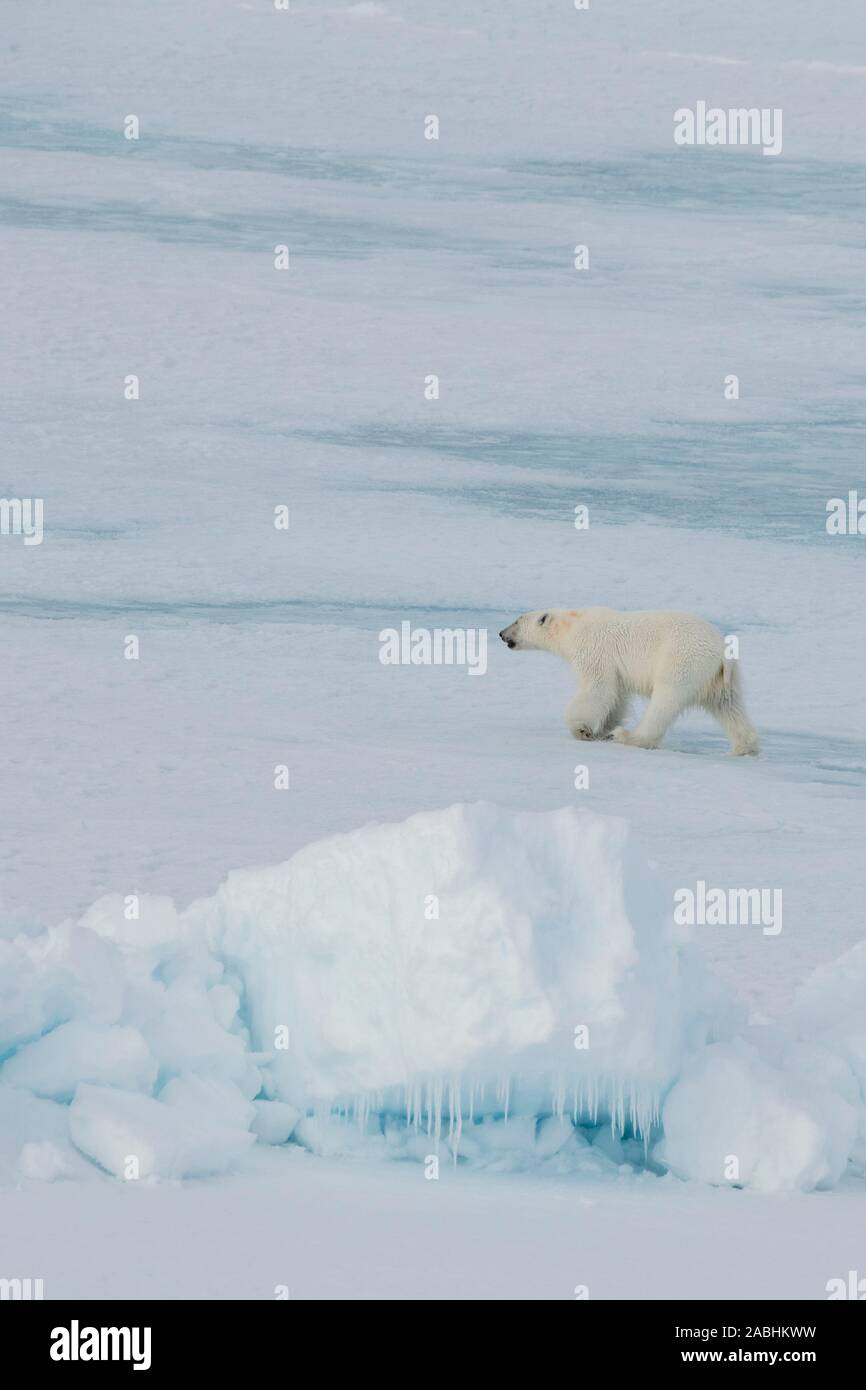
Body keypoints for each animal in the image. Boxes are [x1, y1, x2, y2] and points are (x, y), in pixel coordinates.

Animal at [499, 607, 759, 755]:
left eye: (517, 620)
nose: (501, 633)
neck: (573, 625)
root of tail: (722, 652)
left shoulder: (595, 650)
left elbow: (598, 688)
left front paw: (582, 729)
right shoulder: (616, 669)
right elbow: (617, 697)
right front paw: (602, 729)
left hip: (683, 660)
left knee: (665, 700)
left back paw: (628, 737)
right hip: (720, 679)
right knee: (729, 706)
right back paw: (744, 747)